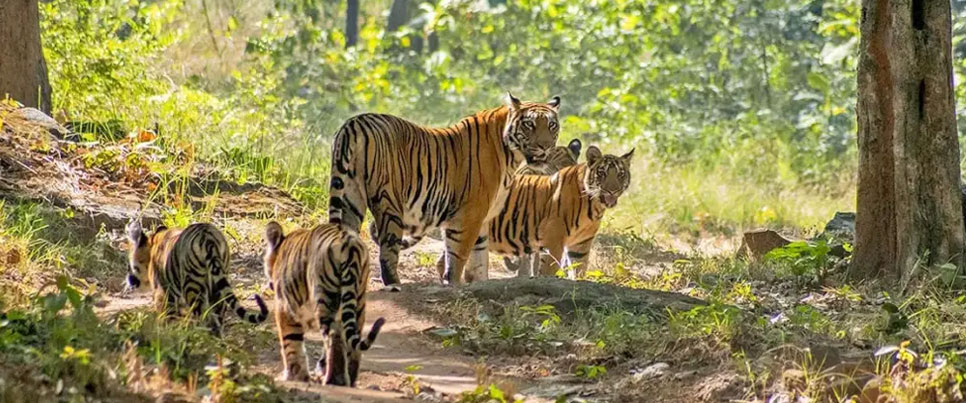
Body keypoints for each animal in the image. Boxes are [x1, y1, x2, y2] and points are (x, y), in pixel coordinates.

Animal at [125, 222, 268, 335]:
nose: (130, 280)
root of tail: (208, 238)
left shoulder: (163, 293)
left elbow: (166, 316)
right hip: (218, 285)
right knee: (217, 315)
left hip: (192, 286)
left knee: (205, 317)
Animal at [262, 221, 385, 386]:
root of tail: (349, 243)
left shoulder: (285, 307)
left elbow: (291, 342)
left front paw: (294, 376)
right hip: (358, 302)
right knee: (351, 341)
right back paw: (349, 380)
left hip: (325, 299)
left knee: (334, 337)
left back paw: (334, 380)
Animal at [328, 93, 561, 288]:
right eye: (529, 124)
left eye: (551, 125)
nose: (545, 147)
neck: (511, 156)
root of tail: (354, 123)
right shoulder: (468, 216)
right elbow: (457, 257)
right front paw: (454, 285)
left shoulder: (483, 218)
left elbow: (479, 259)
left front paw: (479, 284)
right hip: (389, 202)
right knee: (388, 250)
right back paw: (394, 284)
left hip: (351, 198)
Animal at [436, 146, 634, 281]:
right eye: (602, 173)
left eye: (620, 174)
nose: (612, 190)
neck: (595, 205)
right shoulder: (554, 240)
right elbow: (548, 270)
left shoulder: (581, 244)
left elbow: (579, 270)